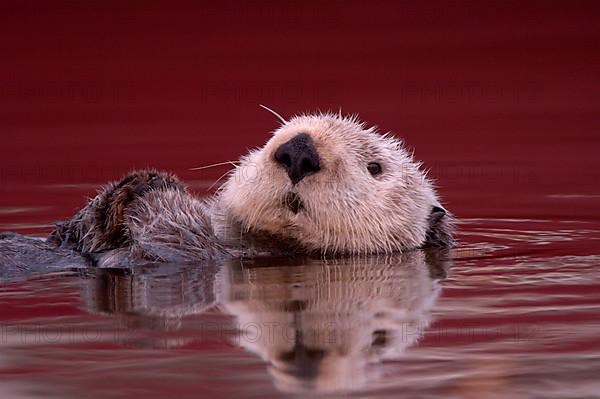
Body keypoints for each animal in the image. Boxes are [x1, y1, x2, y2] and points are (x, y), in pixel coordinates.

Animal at [0, 111, 452, 266]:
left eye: (375, 167)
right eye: (276, 134)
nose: (299, 150)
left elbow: (170, 236)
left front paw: (157, 188)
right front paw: (137, 182)